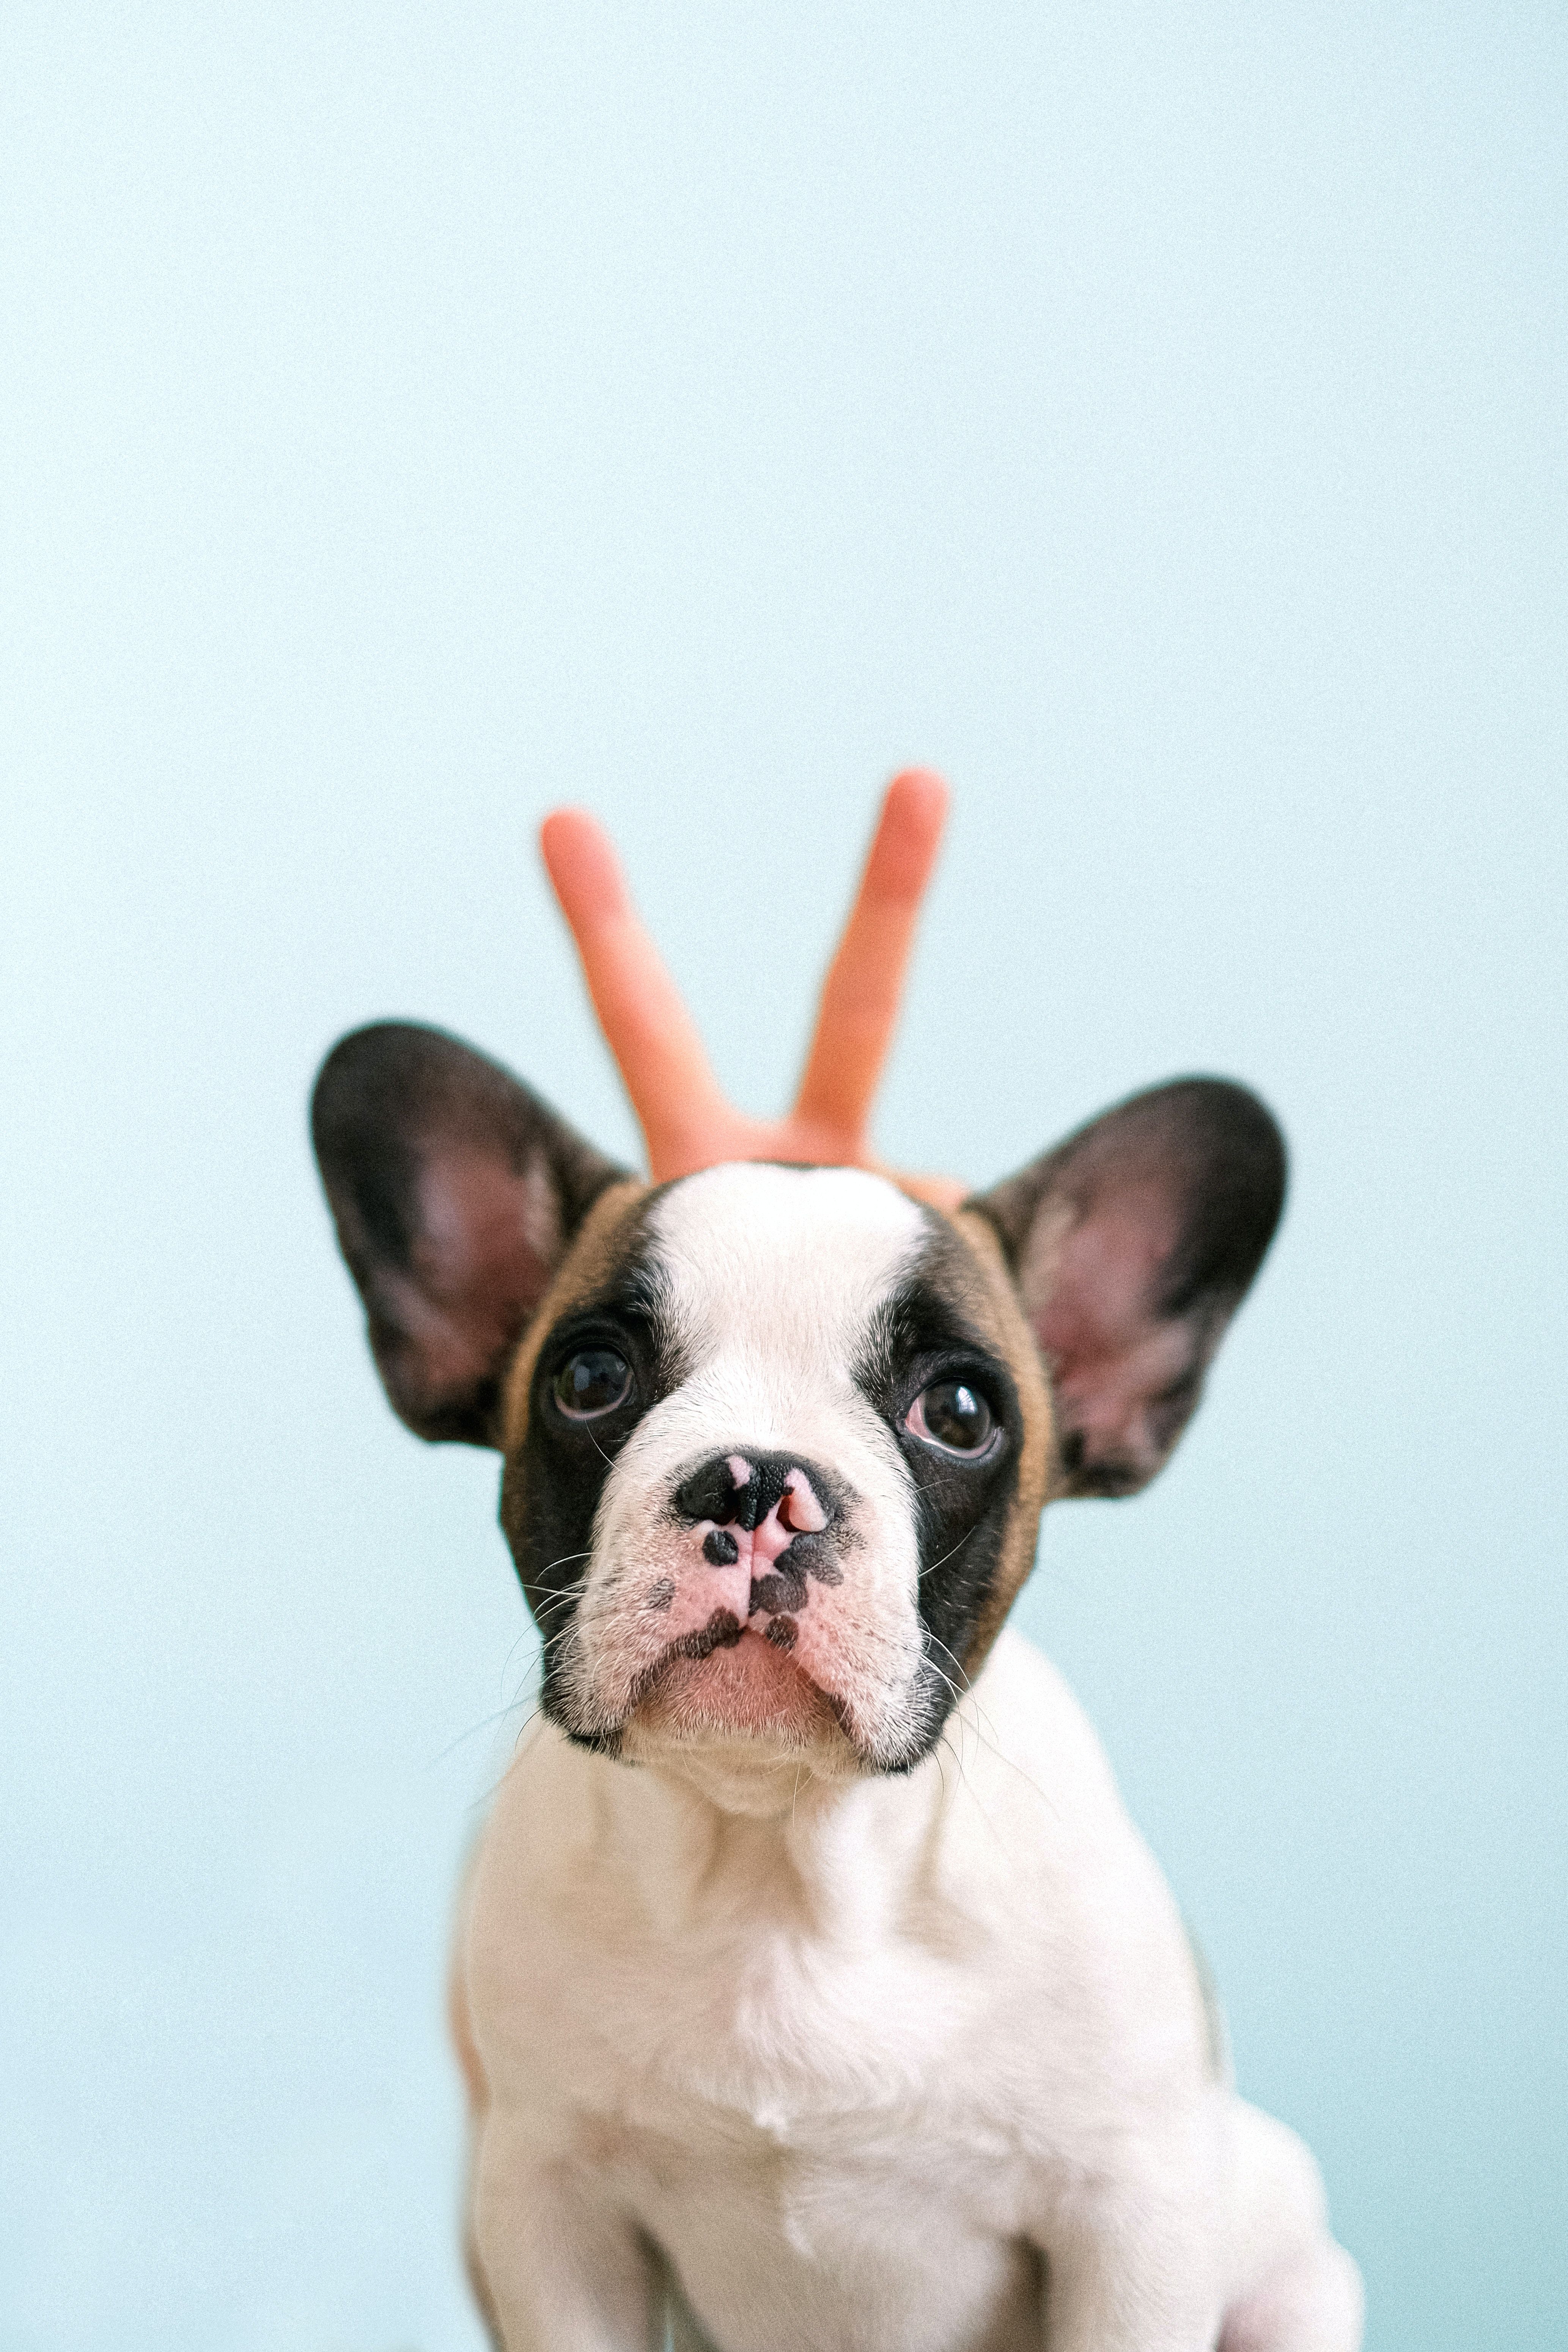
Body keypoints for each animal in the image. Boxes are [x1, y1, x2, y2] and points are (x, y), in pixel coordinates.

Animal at [310, 1016, 1363, 2352]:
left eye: (958, 1410)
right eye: (589, 1380)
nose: (757, 1477)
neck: (781, 1866)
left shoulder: (1131, 2217)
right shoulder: (549, 2207)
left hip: (1292, 2258)